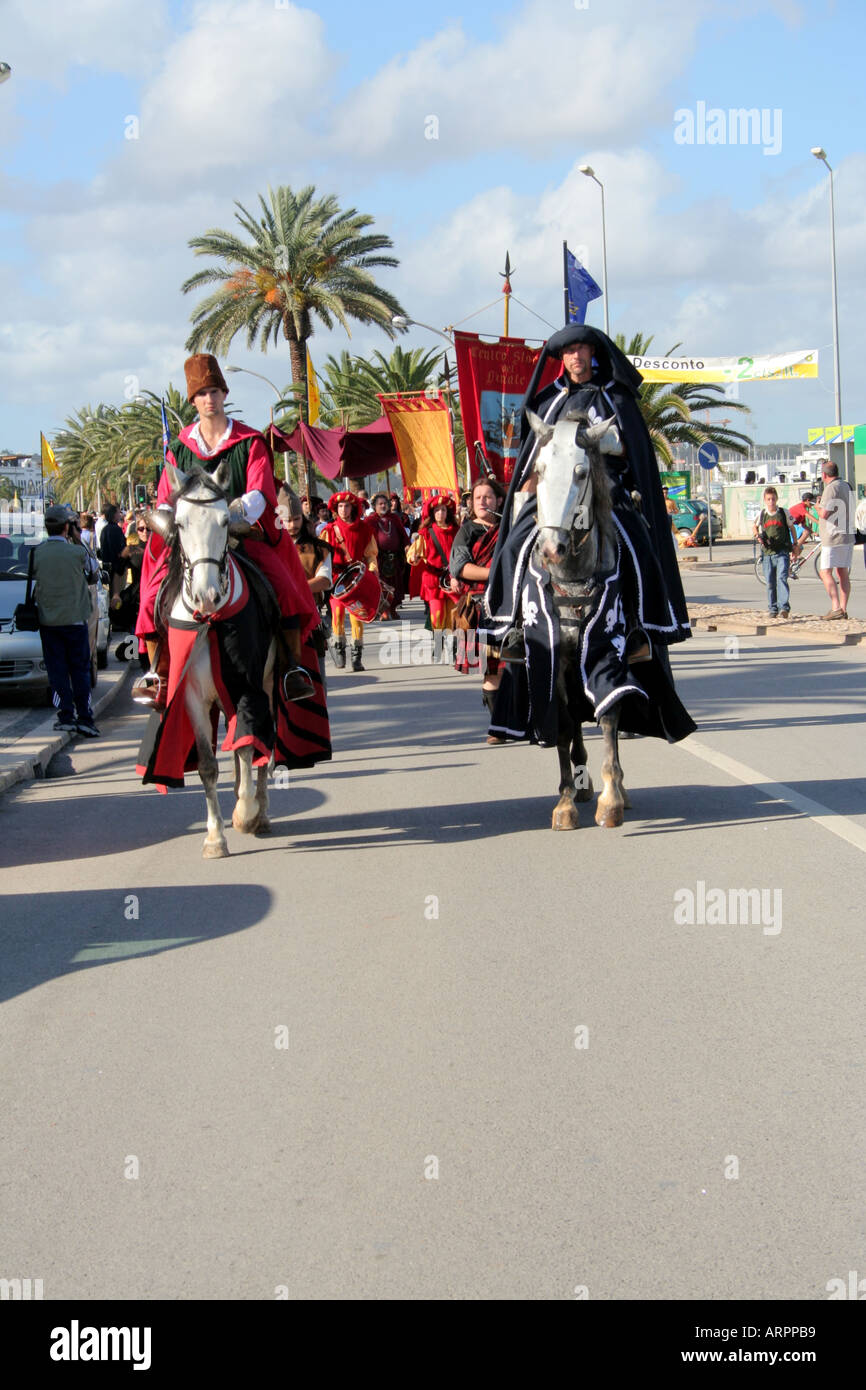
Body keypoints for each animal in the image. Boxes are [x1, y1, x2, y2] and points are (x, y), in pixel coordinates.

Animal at [150, 464, 276, 856]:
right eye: (179, 524)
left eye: (224, 520)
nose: (207, 595)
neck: (210, 620)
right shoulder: (191, 695)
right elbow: (208, 765)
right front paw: (215, 837)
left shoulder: (248, 686)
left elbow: (249, 745)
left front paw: (245, 814)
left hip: (267, 684)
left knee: (262, 743)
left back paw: (259, 814)